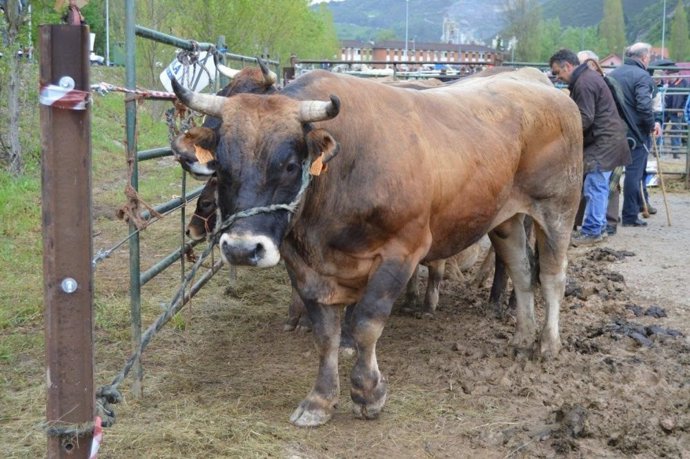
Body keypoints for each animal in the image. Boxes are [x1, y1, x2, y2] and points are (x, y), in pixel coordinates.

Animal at [171, 68, 583, 427]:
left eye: (289, 165)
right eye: (221, 165)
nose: (242, 249)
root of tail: (548, 91)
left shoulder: (402, 251)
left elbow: (367, 325)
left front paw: (368, 393)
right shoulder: (304, 265)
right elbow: (325, 335)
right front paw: (320, 400)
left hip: (557, 207)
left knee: (551, 276)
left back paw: (547, 344)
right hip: (506, 219)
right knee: (521, 272)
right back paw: (522, 339)